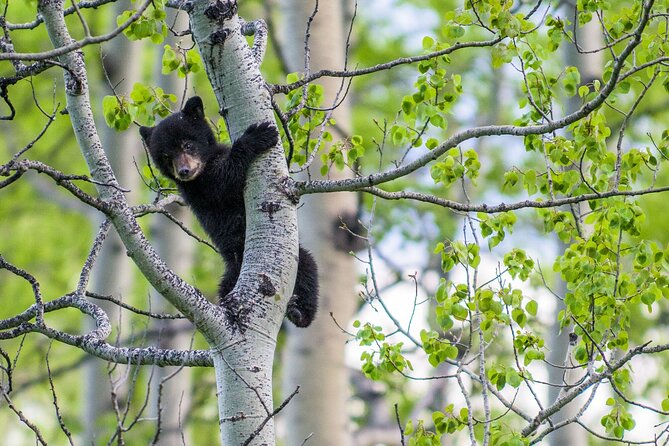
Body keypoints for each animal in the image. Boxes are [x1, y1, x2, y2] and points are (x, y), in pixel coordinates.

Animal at [139, 96, 318, 328]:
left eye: (187, 145)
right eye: (167, 156)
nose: (184, 171)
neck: (206, 164)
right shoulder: (201, 188)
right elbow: (226, 180)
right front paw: (257, 135)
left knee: (308, 274)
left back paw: (299, 312)